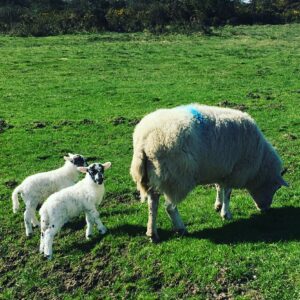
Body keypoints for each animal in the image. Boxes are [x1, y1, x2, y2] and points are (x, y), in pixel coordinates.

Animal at [130, 104, 290, 243]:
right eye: (276, 187)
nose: (265, 209)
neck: (259, 164)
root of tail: (143, 141)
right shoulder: (234, 170)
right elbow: (228, 192)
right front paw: (226, 213)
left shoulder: (221, 168)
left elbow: (219, 187)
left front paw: (218, 205)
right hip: (176, 178)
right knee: (170, 207)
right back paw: (181, 228)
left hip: (156, 177)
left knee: (153, 204)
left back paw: (152, 234)